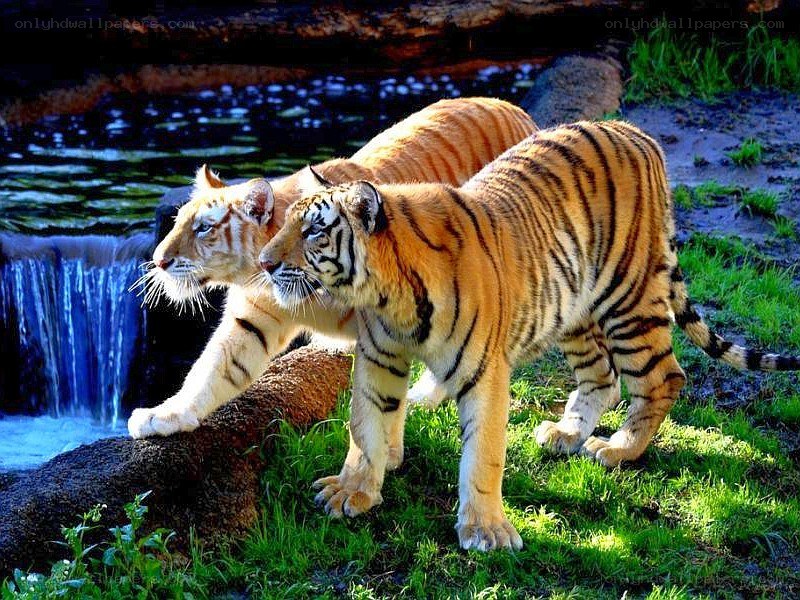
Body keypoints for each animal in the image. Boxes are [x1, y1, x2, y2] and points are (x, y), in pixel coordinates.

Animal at [128, 97, 537, 449]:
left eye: (203, 228)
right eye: (178, 221)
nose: (159, 261)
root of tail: (517, 111)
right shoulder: (252, 319)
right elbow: (210, 369)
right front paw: (164, 415)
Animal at [258, 120, 800, 551]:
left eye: (313, 232)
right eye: (287, 223)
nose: (264, 262)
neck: (389, 296)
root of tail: (640, 135)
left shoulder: (484, 373)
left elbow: (482, 455)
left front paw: (486, 531)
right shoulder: (379, 358)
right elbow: (366, 425)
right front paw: (353, 490)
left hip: (629, 299)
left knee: (663, 377)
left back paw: (617, 449)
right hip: (574, 310)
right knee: (603, 378)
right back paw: (566, 434)